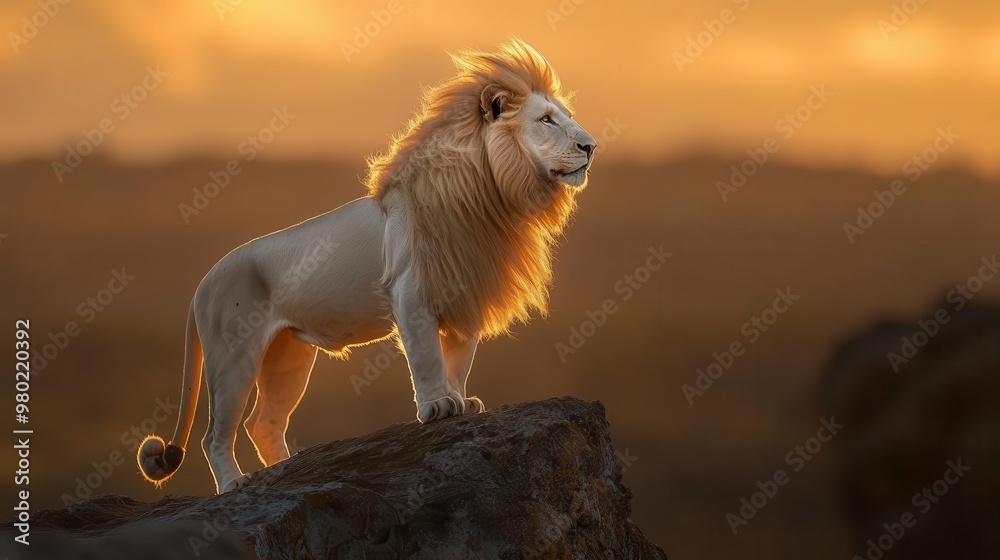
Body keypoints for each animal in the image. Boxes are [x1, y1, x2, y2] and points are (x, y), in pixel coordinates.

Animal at [137, 38, 597, 493]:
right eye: (546, 120)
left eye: (566, 117)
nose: (591, 146)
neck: (492, 195)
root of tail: (202, 283)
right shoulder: (411, 293)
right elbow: (427, 356)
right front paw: (438, 405)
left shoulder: (466, 290)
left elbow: (459, 360)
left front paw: (462, 400)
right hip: (233, 355)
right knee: (215, 435)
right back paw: (235, 483)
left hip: (287, 357)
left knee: (263, 423)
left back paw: (283, 470)